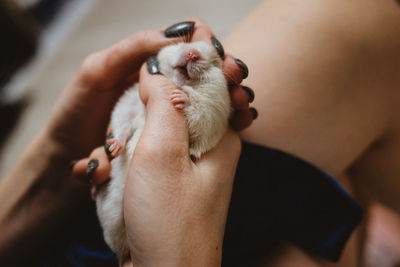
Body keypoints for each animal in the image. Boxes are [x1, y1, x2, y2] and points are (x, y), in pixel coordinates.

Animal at [95, 40, 230, 262]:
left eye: (215, 62)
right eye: (185, 43)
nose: (193, 54)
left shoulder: (213, 116)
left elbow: (200, 113)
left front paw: (181, 97)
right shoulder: (131, 102)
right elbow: (122, 120)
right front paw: (114, 147)